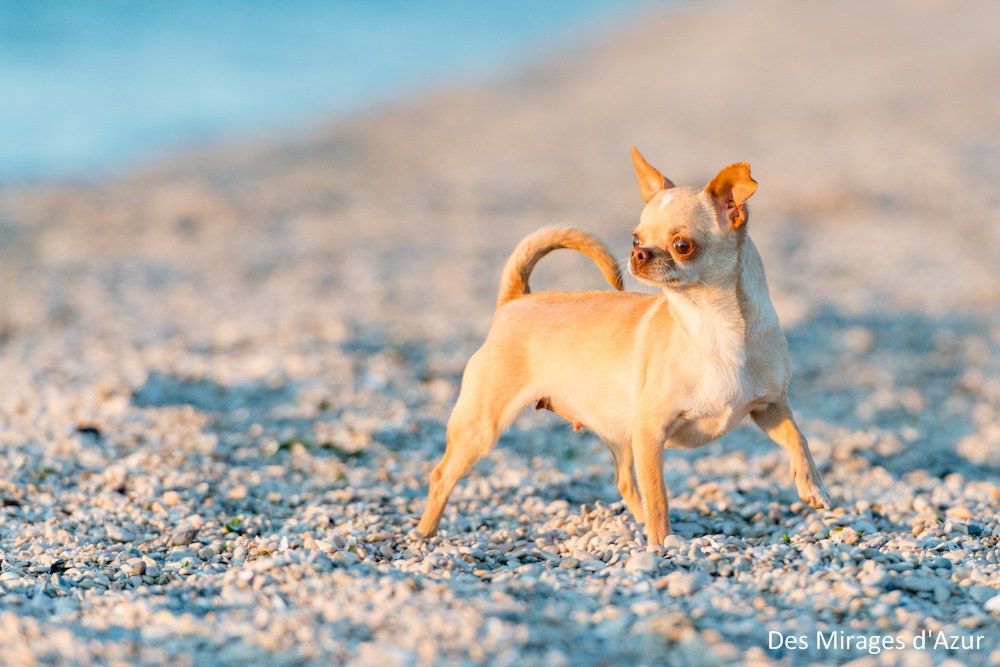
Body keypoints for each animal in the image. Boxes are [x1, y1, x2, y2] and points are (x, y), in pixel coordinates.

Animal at [418, 149, 832, 544]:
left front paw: (812, 485)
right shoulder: (651, 434)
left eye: (682, 245)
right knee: (441, 475)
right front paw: (661, 542)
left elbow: (799, 437)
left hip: (620, 435)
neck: (710, 325)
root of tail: (516, 299)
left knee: (625, 484)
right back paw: (424, 532)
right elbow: (659, 495)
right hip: (482, 427)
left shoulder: (770, 407)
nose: (638, 254)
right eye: (635, 239)